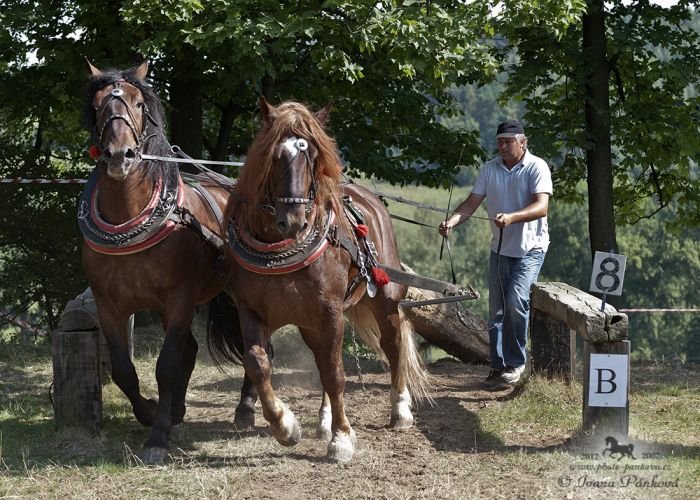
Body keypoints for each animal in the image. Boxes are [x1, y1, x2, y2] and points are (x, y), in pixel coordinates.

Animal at [79, 61, 258, 464]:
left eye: (138, 104)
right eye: (97, 106)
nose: (120, 155)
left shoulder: (179, 301)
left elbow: (167, 365)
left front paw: (158, 436)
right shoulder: (109, 304)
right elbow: (123, 369)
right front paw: (150, 412)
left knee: (255, 347)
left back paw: (245, 409)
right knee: (191, 350)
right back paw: (177, 409)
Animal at [212, 97, 432, 460]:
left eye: (313, 157)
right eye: (274, 156)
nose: (294, 221)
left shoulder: (330, 310)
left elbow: (335, 374)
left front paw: (342, 439)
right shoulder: (251, 311)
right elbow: (258, 364)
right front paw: (285, 426)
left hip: (383, 299)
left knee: (393, 344)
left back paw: (400, 410)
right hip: (310, 321)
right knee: (320, 359)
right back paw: (324, 420)